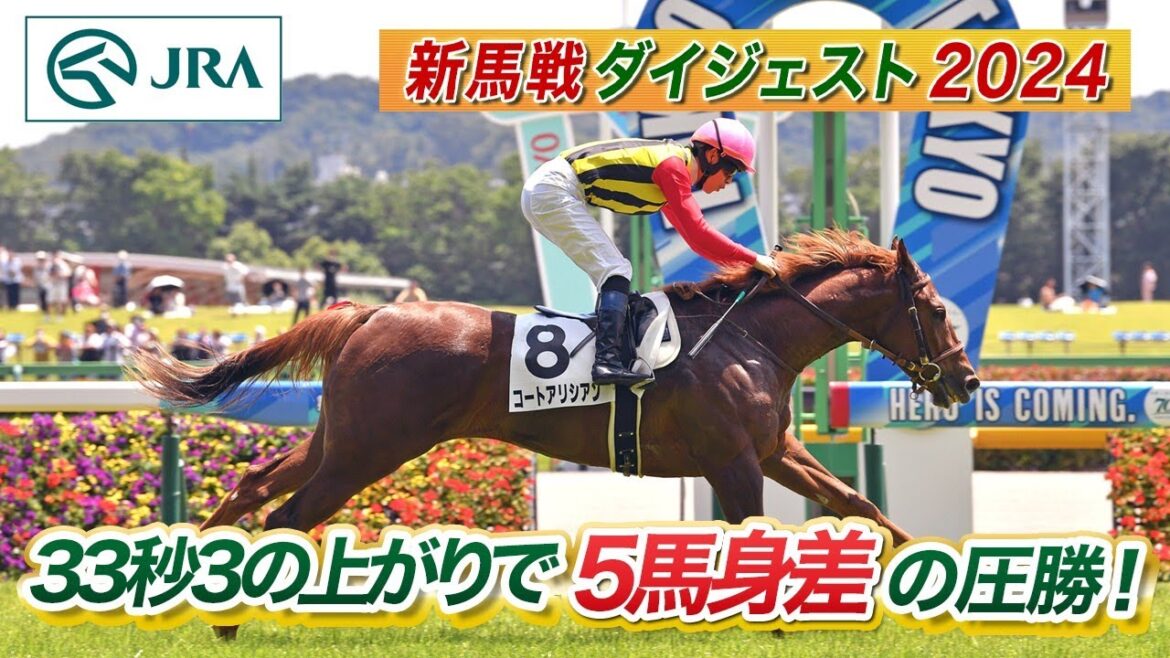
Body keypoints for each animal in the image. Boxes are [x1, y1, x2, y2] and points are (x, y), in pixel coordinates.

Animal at [129, 230, 979, 638]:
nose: (968, 382)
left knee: (252, 487)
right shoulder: (734, 460)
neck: (750, 341)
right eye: (939, 310)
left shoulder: (776, 450)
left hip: (339, 438)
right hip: (369, 449)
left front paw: (937, 585)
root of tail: (367, 312)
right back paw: (229, 616)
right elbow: (752, 540)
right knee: (285, 516)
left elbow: (861, 507)